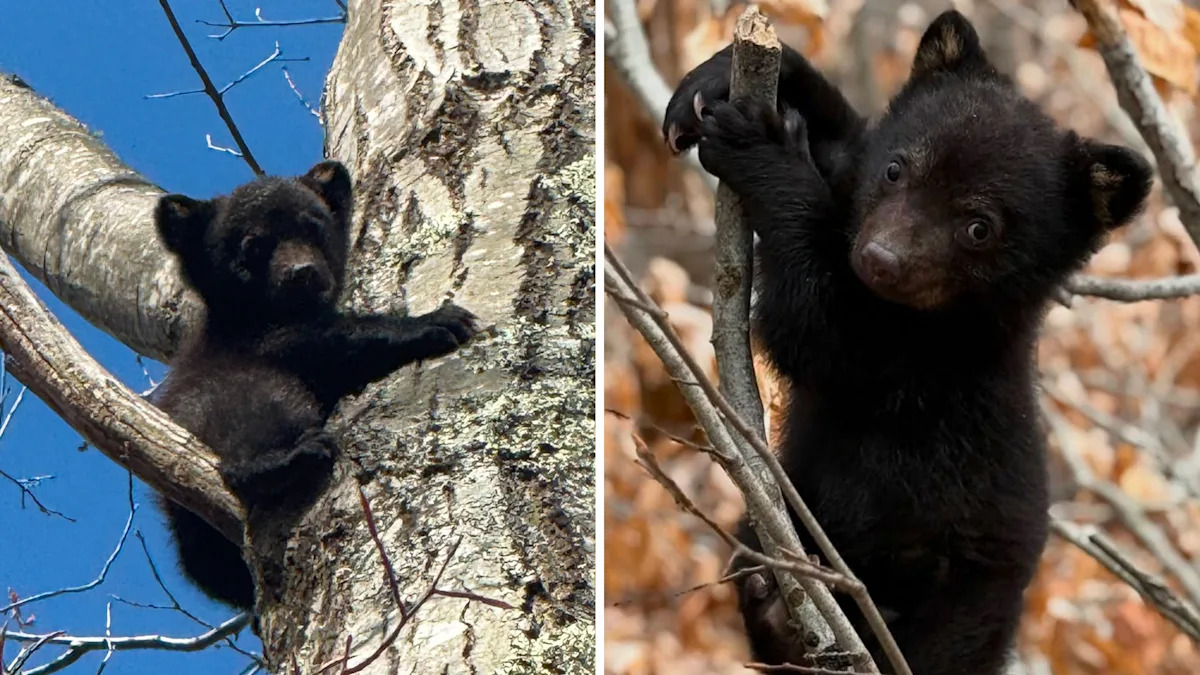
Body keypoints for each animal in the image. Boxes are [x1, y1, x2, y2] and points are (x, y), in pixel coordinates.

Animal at [152, 160, 479, 611]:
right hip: (218, 401)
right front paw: (433, 323)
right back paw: (279, 460)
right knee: (255, 410)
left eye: (313, 225)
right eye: (253, 245)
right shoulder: (255, 343)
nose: (301, 273)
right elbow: (325, 343)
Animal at [663, 10, 1151, 675]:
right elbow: (843, 157)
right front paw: (733, 81)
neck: (942, 322)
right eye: (897, 169)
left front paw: (760, 147)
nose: (881, 259)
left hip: (954, 614)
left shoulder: (921, 368)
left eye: (979, 227)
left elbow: (821, 326)